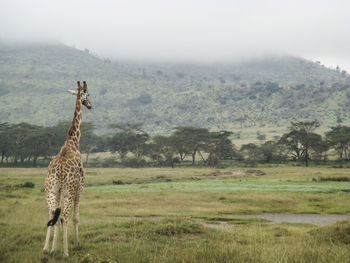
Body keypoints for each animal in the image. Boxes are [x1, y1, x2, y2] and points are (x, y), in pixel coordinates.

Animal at [42, 80, 92, 260]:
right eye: (88, 94)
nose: (90, 105)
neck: (73, 141)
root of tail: (61, 169)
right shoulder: (80, 186)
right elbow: (76, 217)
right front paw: (77, 244)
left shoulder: (59, 191)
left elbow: (55, 217)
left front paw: (52, 249)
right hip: (69, 190)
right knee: (64, 217)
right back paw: (65, 253)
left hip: (51, 190)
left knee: (52, 214)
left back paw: (46, 250)